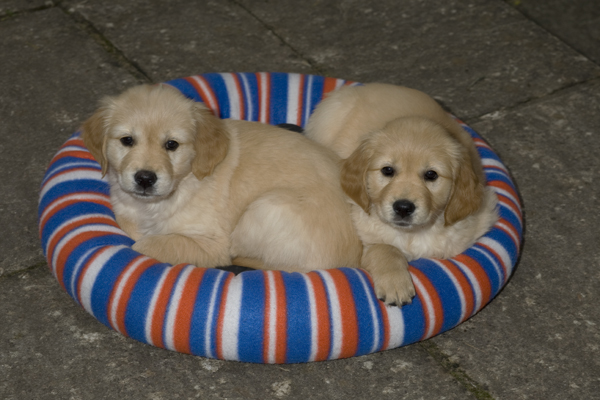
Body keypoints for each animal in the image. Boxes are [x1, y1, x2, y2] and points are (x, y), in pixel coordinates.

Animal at [79, 84, 360, 272]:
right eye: (127, 140)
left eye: (172, 145)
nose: (145, 179)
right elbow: (129, 225)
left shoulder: (213, 244)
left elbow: (148, 245)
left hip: (265, 208)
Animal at [304, 83, 496, 304]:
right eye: (387, 170)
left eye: (431, 175)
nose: (403, 208)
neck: (411, 235)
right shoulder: (365, 241)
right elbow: (385, 248)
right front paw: (395, 283)